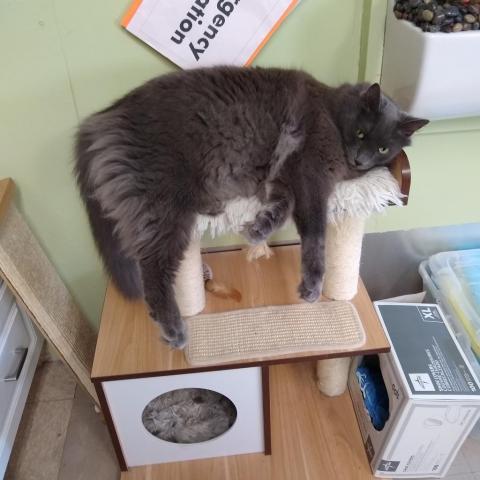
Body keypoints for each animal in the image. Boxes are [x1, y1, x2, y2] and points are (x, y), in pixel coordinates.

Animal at [74, 65, 428, 346]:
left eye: (383, 148)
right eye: (361, 133)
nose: (360, 160)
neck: (330, 109)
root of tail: (104, 116)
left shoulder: (284, 176)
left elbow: (281, 208)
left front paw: (259, 228)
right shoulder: (310, 172)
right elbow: (315, 235)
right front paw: (311, 286)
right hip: (165, 203)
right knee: (152, 269)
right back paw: (174, 329)